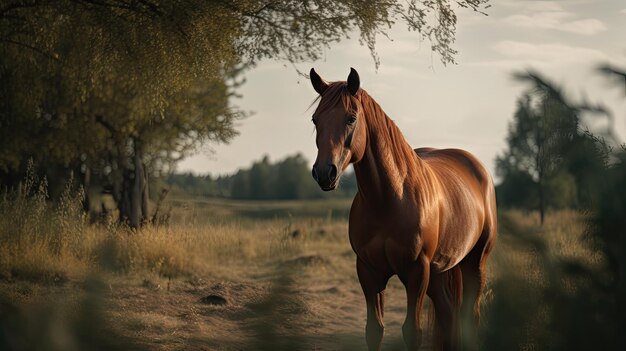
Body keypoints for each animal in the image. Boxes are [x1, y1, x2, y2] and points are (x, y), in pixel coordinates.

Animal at [306, 69, 492, 351]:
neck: (389, 199)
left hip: (474, 264)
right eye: (316, 119)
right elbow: (374, 330)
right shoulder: (368, 273)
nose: (324, 173)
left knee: (471, 317)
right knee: (449, 314)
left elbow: (412, 331)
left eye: (351, 118)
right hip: (438, 272)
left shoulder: (416, 273)